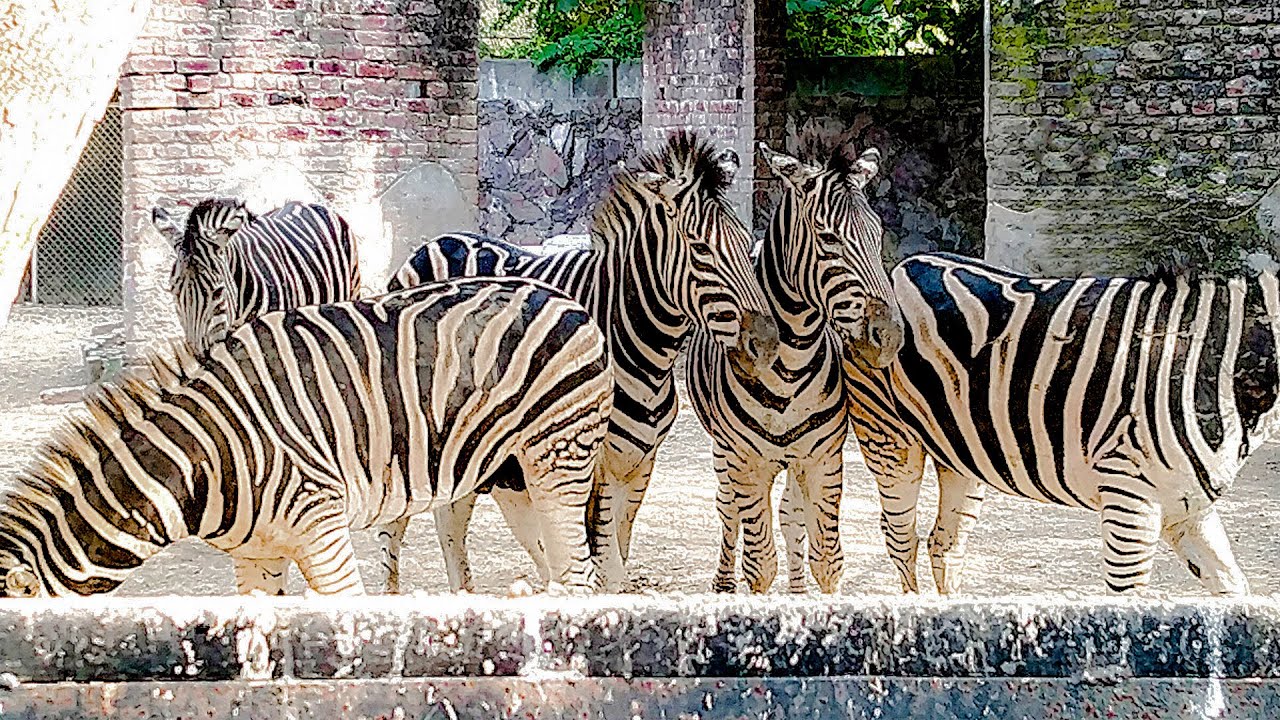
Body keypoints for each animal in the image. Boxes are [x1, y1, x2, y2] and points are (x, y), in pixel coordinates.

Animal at [0, 277, 613, 597]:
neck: (202, 461)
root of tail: (561, 295)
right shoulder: (258, 553)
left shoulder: (321, 528)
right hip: (514, 477)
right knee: (559, 568)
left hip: (559, 454)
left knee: (579, 575)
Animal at [384, 131, 779, 592]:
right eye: (701, 250)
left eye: (747, 244)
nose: (767, 342)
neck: (645, 354)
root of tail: (436, 242)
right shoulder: (593, 461)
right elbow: (601, 560)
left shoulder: (639, 465)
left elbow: (616, 556)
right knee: (395, 531)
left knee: (450, 518)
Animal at [686, 133, 903, 595]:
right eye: (827, 238)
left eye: (877, 235)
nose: (890, 338)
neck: (791, 364)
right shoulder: (747, 463)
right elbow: (759, 564)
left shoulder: (823, 458)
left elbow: (827, 559)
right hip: (722, 450)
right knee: (727, 510)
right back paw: (723, 582)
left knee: (791, 517)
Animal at [796, 251, 1278, 596]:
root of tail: (900, 265)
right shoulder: (1128, 494)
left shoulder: (1188, 507)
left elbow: (1232, 591)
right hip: (890, 438)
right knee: (901, 538)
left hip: (961, 454)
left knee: (945, 544)